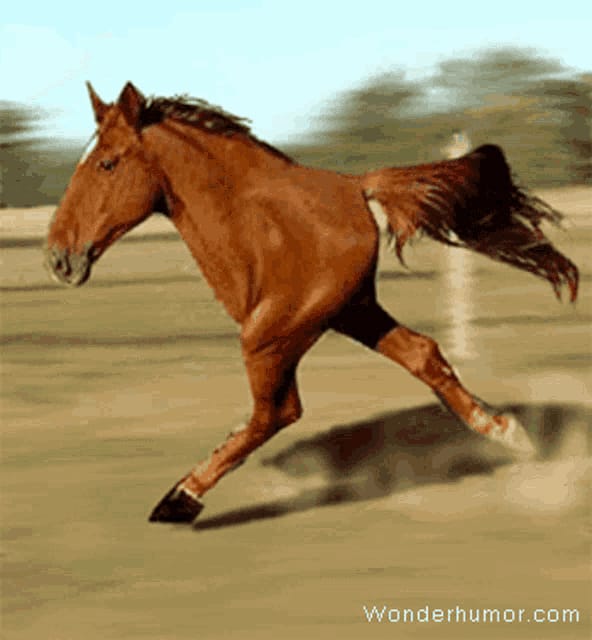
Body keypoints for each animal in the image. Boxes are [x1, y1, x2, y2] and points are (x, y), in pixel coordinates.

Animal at [45, 82, 579, 524]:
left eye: (107, 163)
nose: (58, 259)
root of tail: (359, 187)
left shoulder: (274, 331)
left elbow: (273, 414)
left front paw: (181, 497)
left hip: (278, 331)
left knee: (279, 411)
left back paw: (180, 498)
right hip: (351, 312)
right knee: (423, 354)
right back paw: (509, 433)